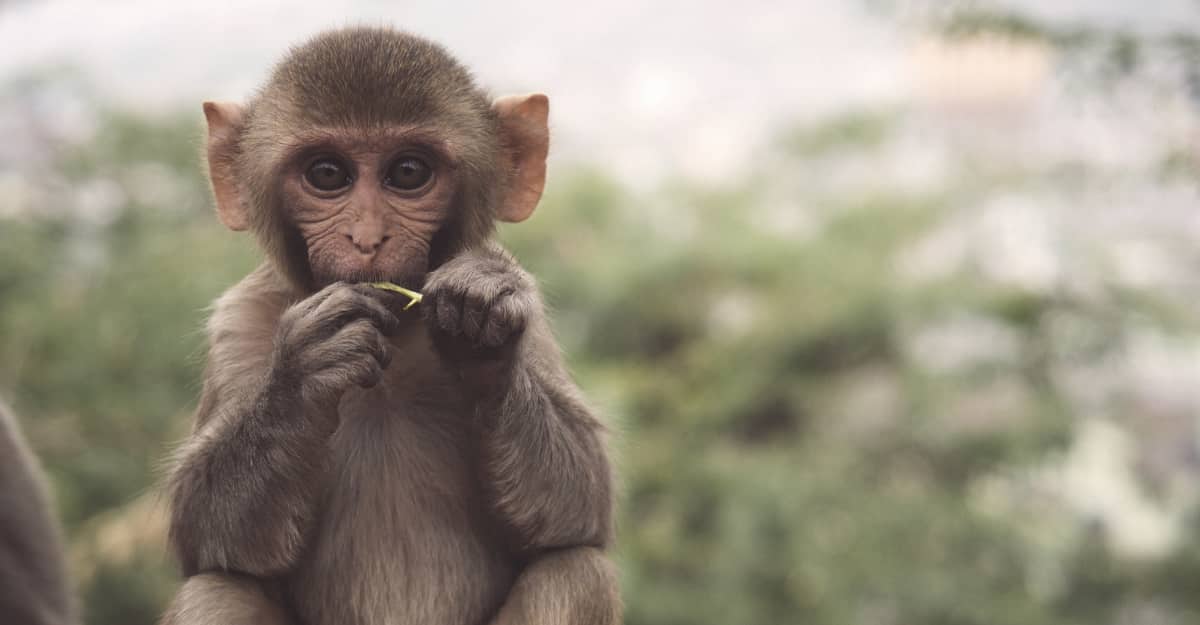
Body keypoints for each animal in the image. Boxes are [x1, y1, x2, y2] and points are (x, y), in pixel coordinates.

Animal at [160, 27, 620, 625]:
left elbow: (581, 505)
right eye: (327, 174)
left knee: (576, 571)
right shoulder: (239, 321)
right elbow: (204, 533)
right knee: (217, 592)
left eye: (408, 172)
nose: (367, 239)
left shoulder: (532, 312)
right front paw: (306, 373)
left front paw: (483, 334)